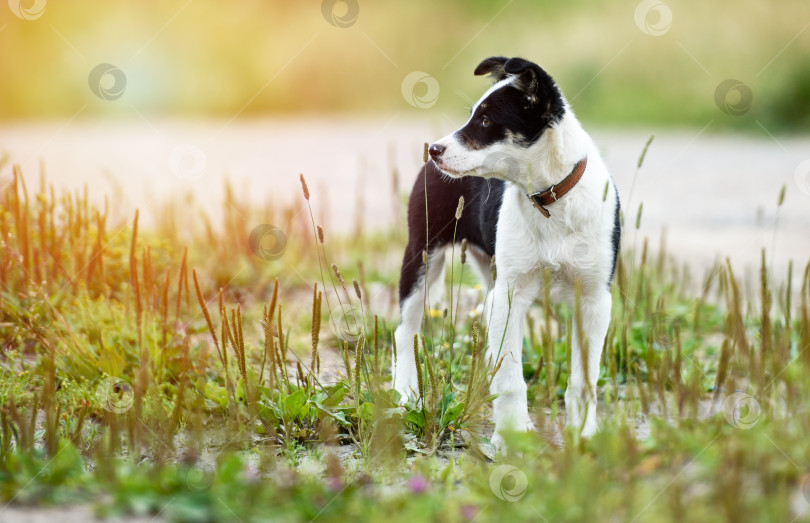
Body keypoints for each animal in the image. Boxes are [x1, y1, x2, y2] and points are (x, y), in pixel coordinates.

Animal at [392, 56, 620, 450]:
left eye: (486, 121)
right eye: (473, 115)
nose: (434, 150)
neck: (550, 201)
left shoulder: (593, 299)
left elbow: (583, 379)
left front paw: (584, 434)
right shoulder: (512, 294)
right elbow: (512, 377)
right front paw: (513, 435)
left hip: (489, 271)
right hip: (421, 257)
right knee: (405, 331)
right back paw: (407, 393)